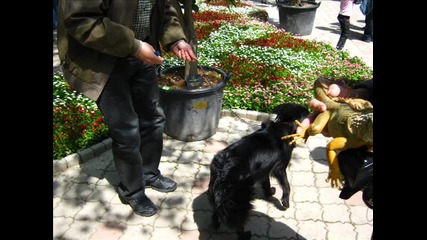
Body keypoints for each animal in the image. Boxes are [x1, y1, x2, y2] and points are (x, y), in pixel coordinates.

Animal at [206, 102, 308, 239]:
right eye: (305, 113)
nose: (311, 111)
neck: (284, 125)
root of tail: (223, 171)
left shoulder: (264, 169)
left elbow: (266, 183)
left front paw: (269, 192)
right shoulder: (279, 168)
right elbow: (287, 185)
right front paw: (285, 202)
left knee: (216, 213)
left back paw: (216, 225)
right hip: (239, 200)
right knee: (238, 221)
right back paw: (244, 235)